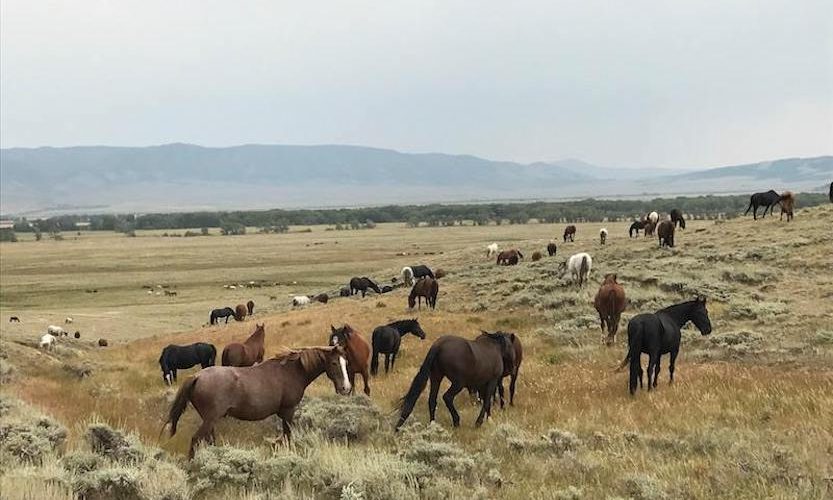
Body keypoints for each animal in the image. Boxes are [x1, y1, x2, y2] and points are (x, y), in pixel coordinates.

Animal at [164, 346, 350, 458]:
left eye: (346, 362)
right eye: (334, 363)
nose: (346, 388)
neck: (291, 371)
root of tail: (196, 377)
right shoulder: (289, 411)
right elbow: (288, 435)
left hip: (210, 420)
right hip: (210, 419)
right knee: (196, 440)